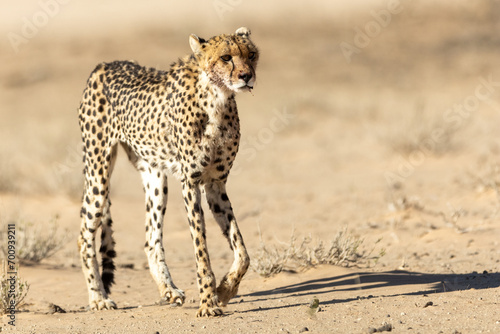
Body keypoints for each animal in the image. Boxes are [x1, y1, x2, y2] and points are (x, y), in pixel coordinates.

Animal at [77, 26, 258, 316]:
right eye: (226, 57)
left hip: (155, 177)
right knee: (85, 235)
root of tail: (104, 64)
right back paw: (98, 298)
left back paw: (168, 290)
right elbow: (201, 250)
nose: (246, 76)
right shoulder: (191, 183)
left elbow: (242, 252)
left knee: (151, 238)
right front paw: (208, 303)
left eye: (251, 54)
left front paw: (225, 290)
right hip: (98, 174)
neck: (217, 97)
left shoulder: (216, 184)